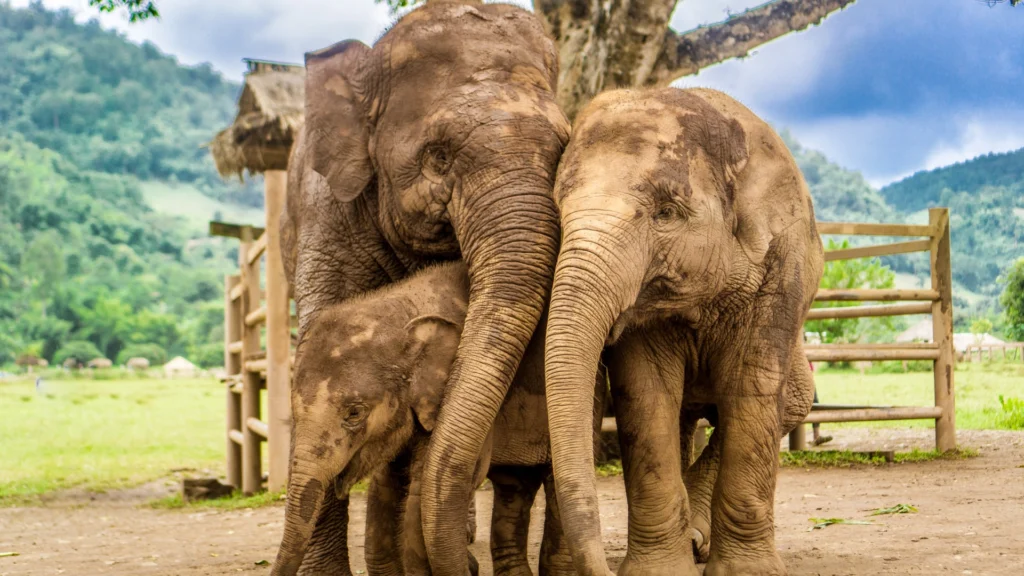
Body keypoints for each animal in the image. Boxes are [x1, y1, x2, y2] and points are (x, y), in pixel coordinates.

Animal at [544, 86, 823, 573]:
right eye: (558, 211)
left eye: (666, 212)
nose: (600, 569)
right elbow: (645, 393)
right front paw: (656, 571)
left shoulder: (782, 267)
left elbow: (750, 387)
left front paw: (749, 572)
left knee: (789, 401)